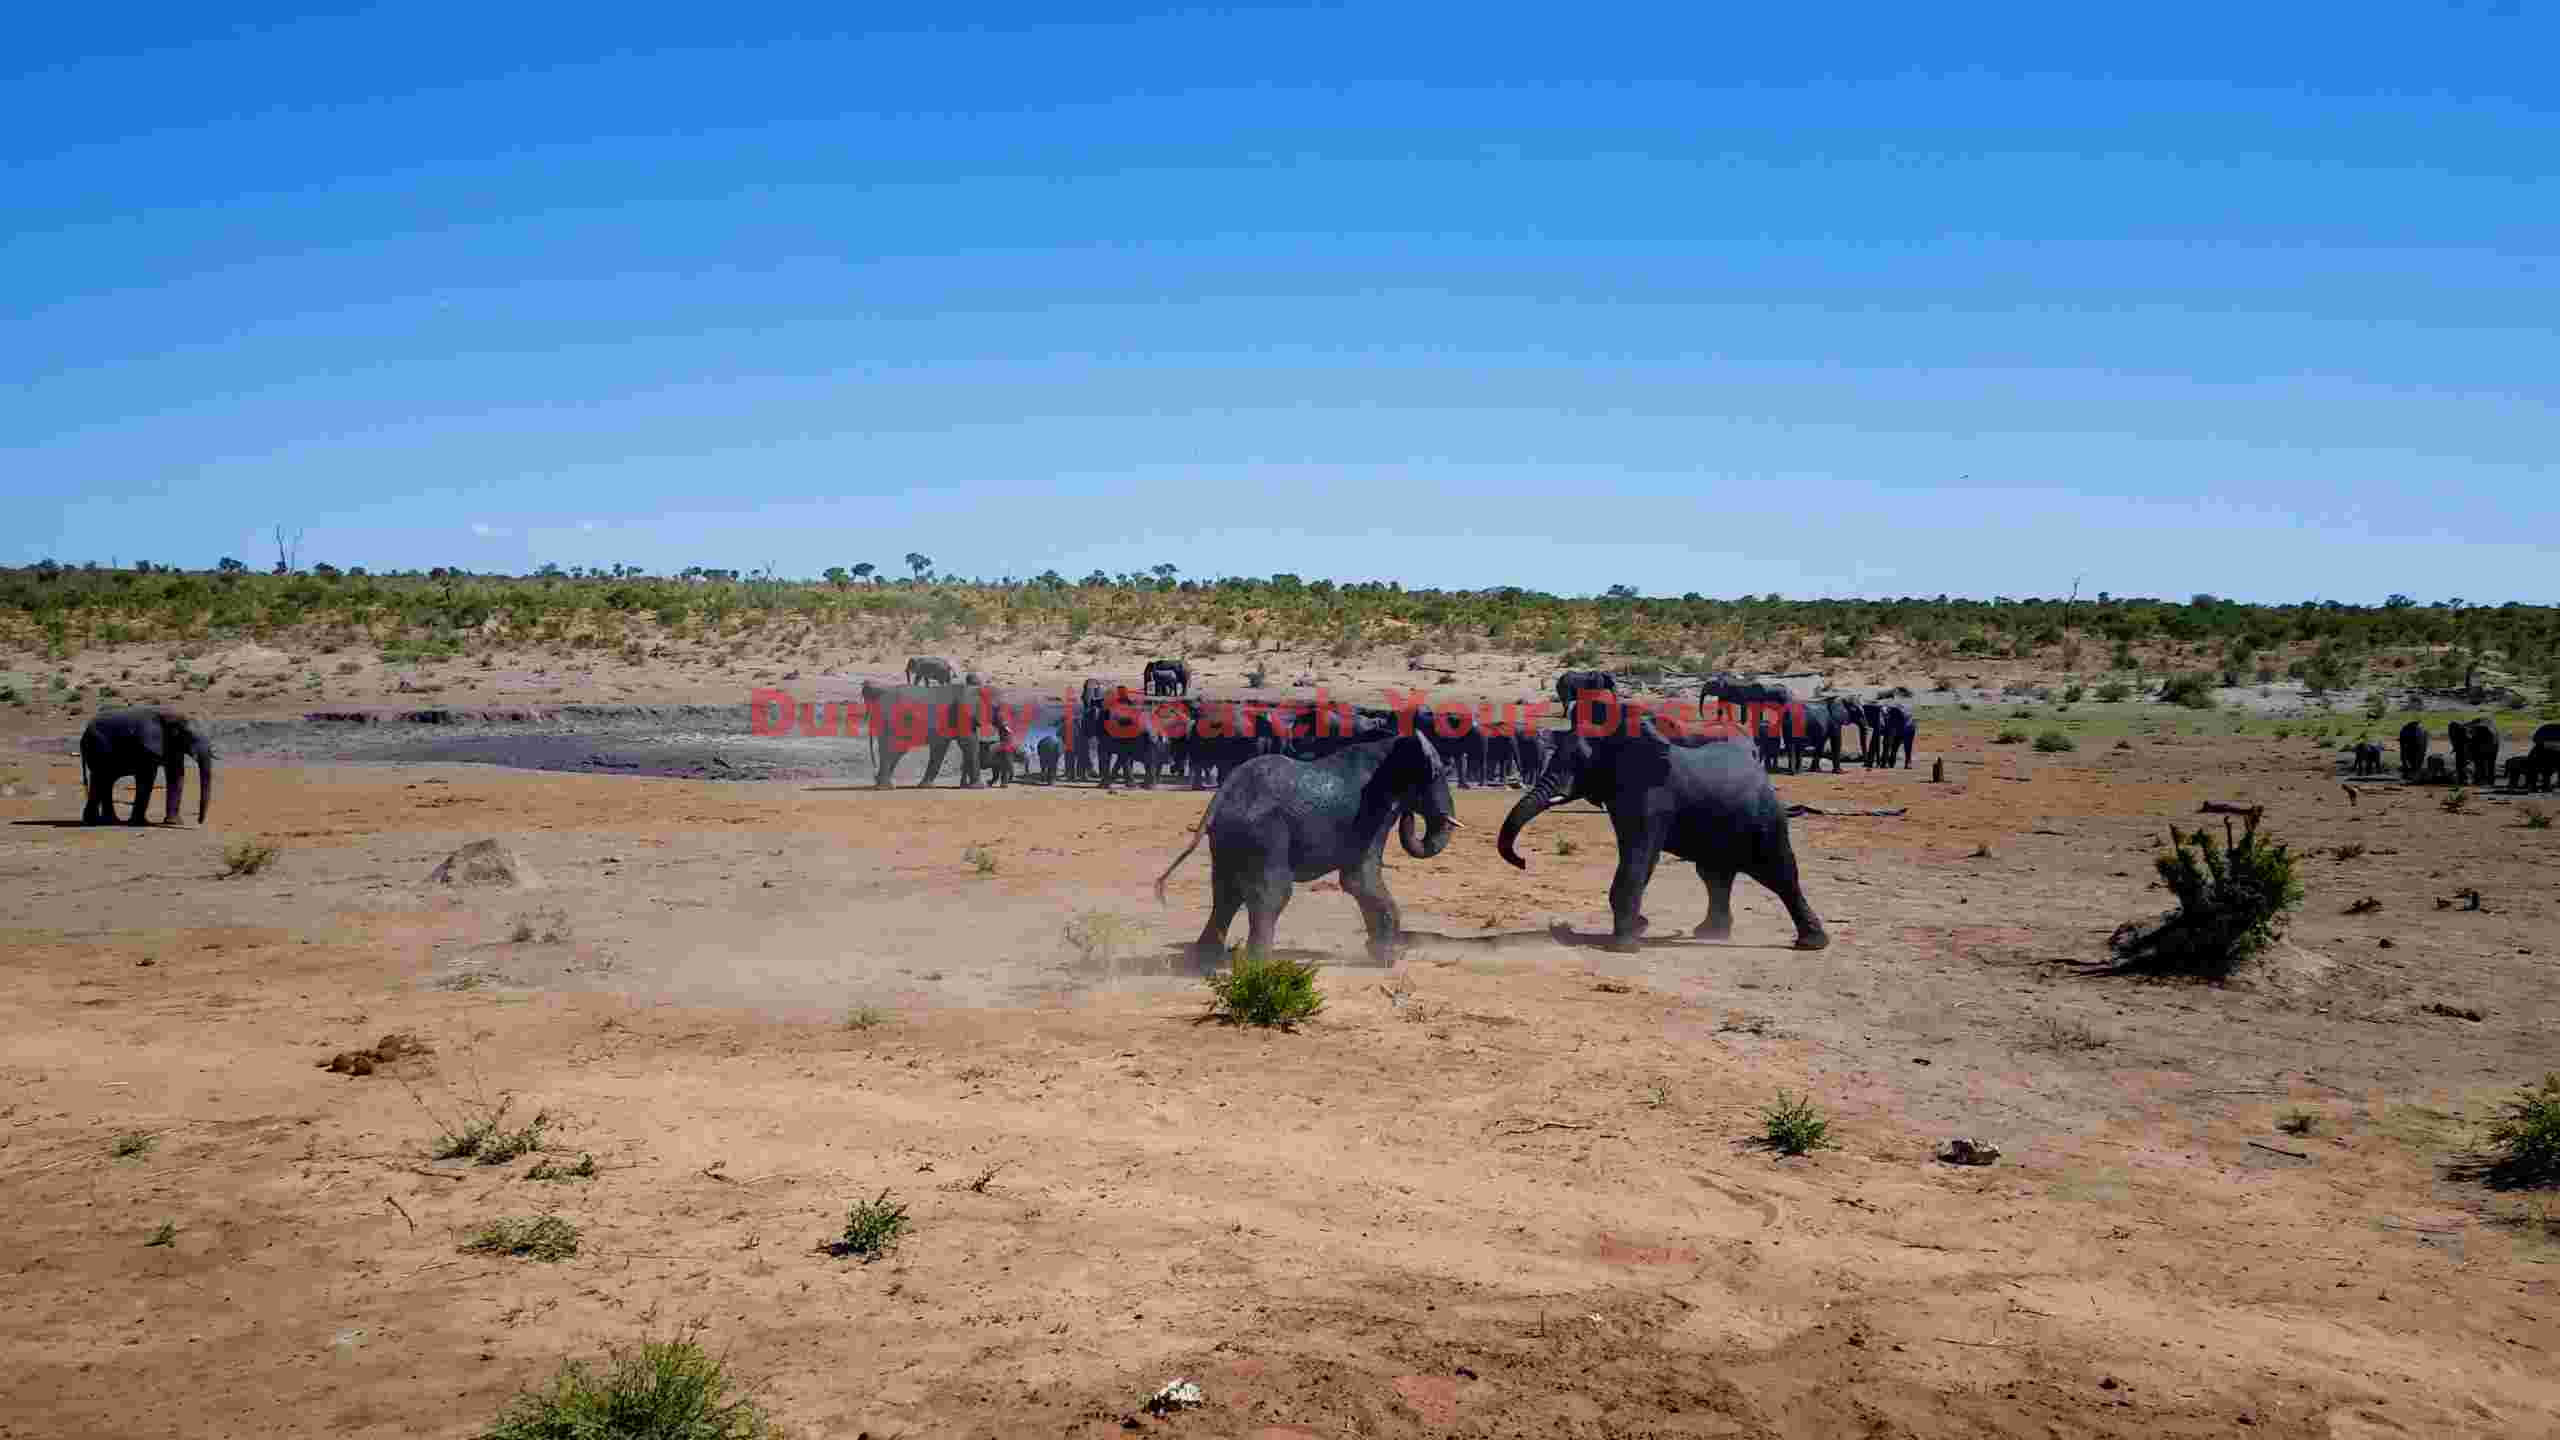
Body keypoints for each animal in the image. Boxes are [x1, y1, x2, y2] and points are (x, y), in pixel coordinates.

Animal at [80, 707, 213, 825]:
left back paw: (107, 821)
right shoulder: (146, 746)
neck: (171, 716)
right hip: (98, 749)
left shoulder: (173, 745)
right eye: (190, 737)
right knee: (101, 779)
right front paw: (139, 823)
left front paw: (174, 823)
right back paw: (95, 821)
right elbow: (147, 777)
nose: (199, 821)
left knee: (105, 781)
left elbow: (176, 774)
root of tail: (83, 735)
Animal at [1155, 732, 1460, 966]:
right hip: (1265, 831)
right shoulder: (1373, 812)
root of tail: (1220, 796)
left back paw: (1205, 962)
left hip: (1229, 838)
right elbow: (1359, 878)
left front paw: (1378, 954)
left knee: (1226, 892)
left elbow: (1358, 880)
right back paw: (1259, 966)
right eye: (1437, 775)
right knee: (1271, 893)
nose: (1410, 814)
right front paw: (1388, 959)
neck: (1393, 746)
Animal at [1496, 720, 1827, 954]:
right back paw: (1709, 933)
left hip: (1766, 820)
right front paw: (1638, 928)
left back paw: (1811, 944)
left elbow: (1639, 856)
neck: (1618, 737)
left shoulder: (1652, 797)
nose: (1523, 861)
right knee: (1714, 876)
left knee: (1780, 875)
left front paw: (1624, 946)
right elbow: (1638, 856)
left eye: (1580, 761)